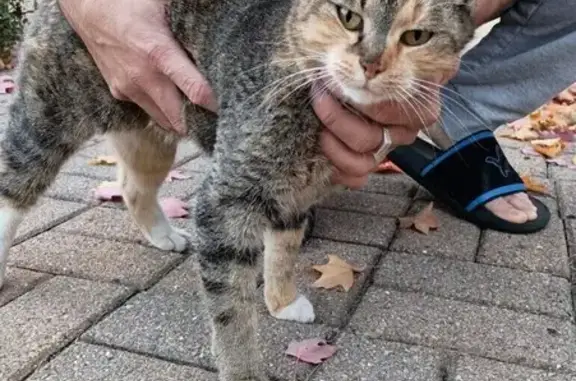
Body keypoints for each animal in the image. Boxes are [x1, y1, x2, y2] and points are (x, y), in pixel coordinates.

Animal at [0, 1, 474, 378]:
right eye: (348, 16)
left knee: (133, 186)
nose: (372, 63)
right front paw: (243, 368)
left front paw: (281, 301)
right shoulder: (224, 202)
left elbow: (284, 248)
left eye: (417, 36)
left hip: (150, 126)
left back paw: (163, 234)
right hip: (51, 116)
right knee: (14, 182)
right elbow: (232, 312)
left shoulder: (295, 195)